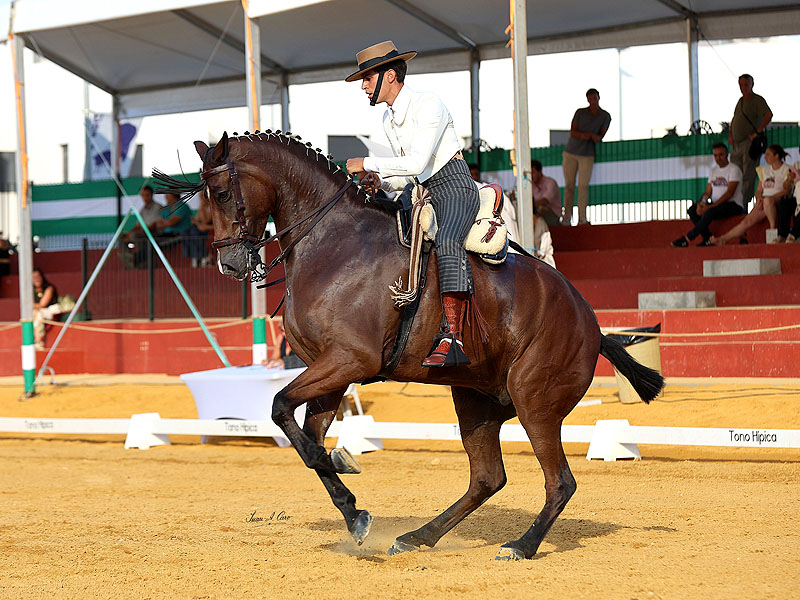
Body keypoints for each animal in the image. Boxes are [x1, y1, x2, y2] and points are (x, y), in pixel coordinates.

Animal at [157, 130, 663, 561]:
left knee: (559, 482)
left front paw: (342, 464)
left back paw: (521, 546)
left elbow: (283, 410)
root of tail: (590, 322)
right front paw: (353, 510)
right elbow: (303, 435)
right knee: (487, 478)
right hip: (476, 399)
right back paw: (418, 537)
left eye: (222, 193)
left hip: (534, 400)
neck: (331, 242)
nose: (229, 264)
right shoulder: (327, 370)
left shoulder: (348, 361)